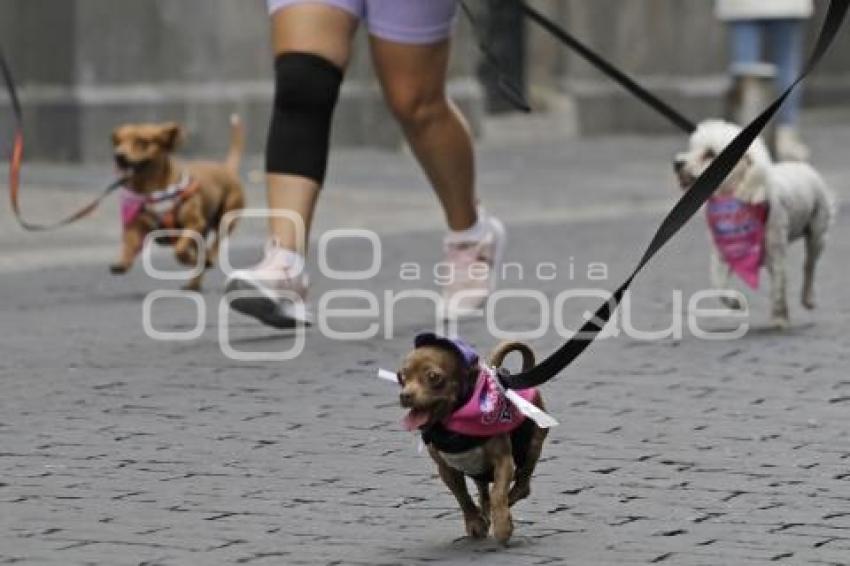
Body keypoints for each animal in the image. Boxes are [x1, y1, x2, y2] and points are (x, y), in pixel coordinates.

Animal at [672, 122, 840, 330]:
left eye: (710, 153)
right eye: (692, 148)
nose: (677, 163)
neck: (740, 195)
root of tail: (803, 166)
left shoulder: (776, 252)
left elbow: (778, 288)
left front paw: (779, 318)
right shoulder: (723, 252)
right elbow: (718, 284)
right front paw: (735, 302)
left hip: (817, 233)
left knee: (809, 267)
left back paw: (807, 298)